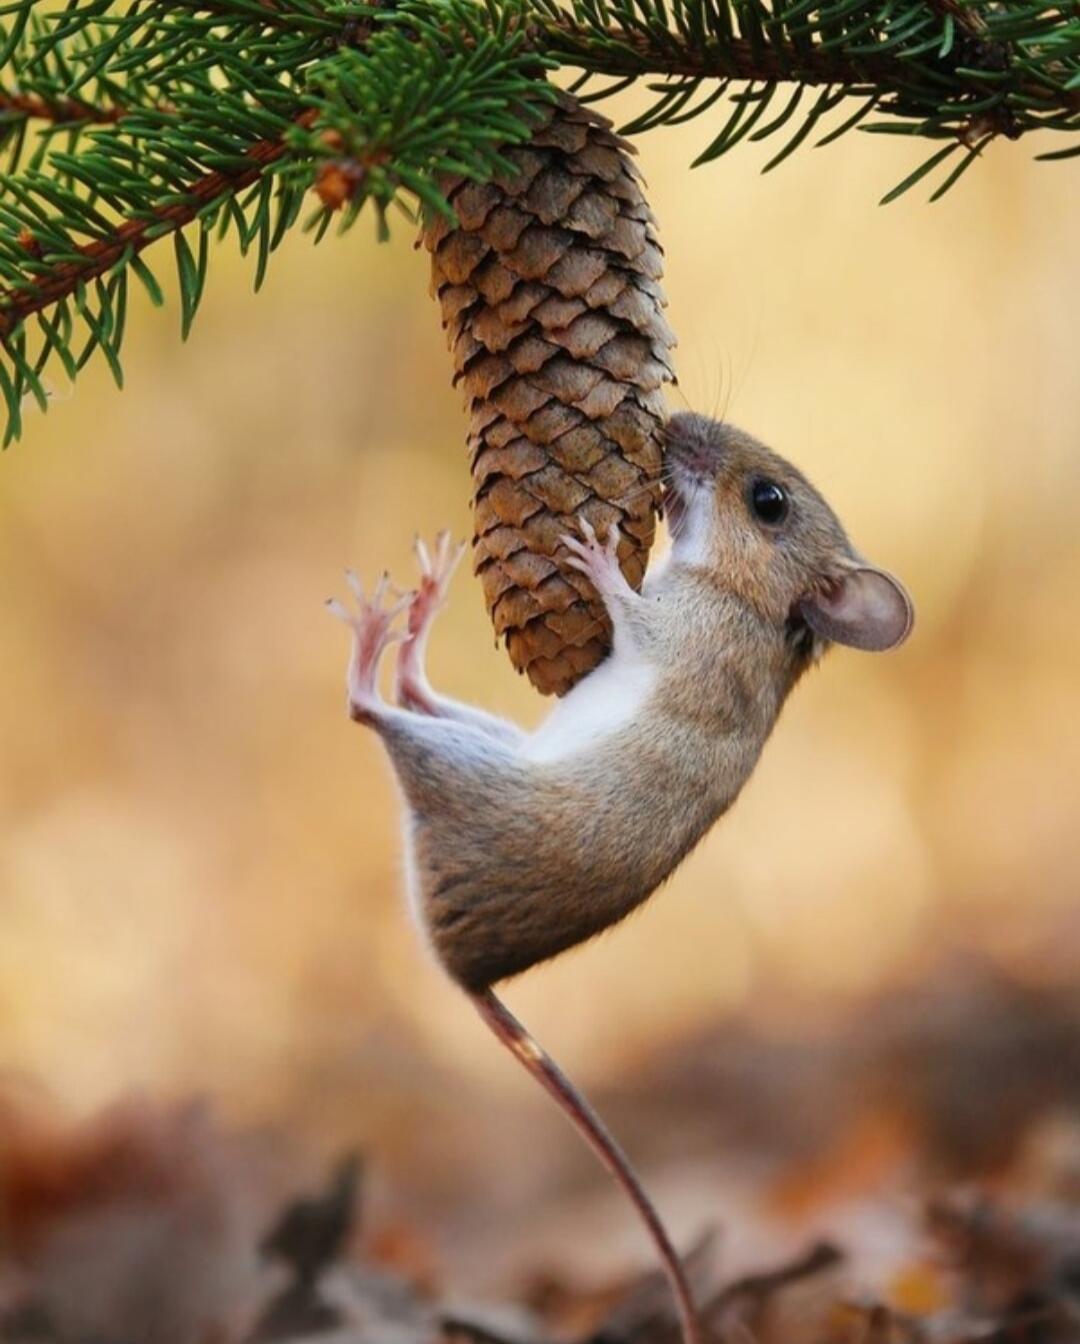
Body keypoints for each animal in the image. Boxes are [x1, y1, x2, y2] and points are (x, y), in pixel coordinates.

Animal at [328, 411, 914, 1344]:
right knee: (414, 693)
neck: (749, 598)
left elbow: (628, 610)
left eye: (769, 501)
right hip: (498, 736)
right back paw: (420, 604)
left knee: (372, 711)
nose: (674, 423)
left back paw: (376, 632)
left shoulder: (680, 634)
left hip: (467, 767)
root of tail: (466, 974)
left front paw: (596, 552)